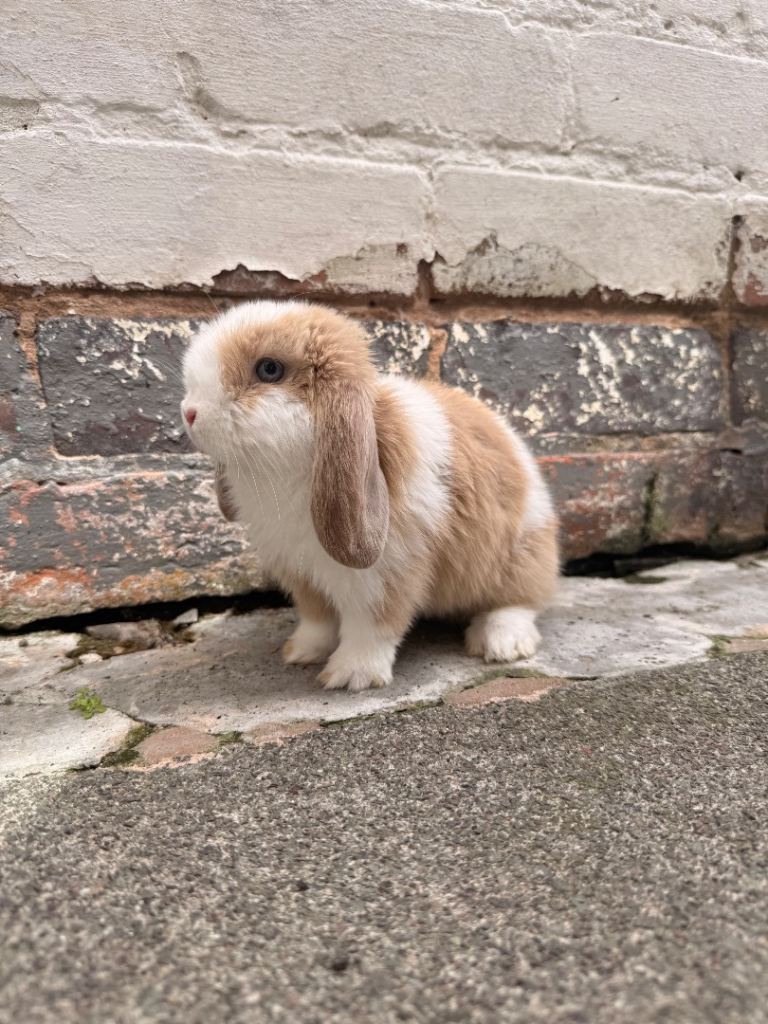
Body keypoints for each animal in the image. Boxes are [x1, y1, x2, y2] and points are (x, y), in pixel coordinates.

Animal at [181, 300, 559, 692]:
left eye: (269, 369)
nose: (189, 413)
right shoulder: (303, 576)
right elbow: (317, 621)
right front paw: (301, 652)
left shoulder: (384, 577)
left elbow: (372, 629)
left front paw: (350, 676)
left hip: (518, 561)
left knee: (521, 602)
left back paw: (502, 643)